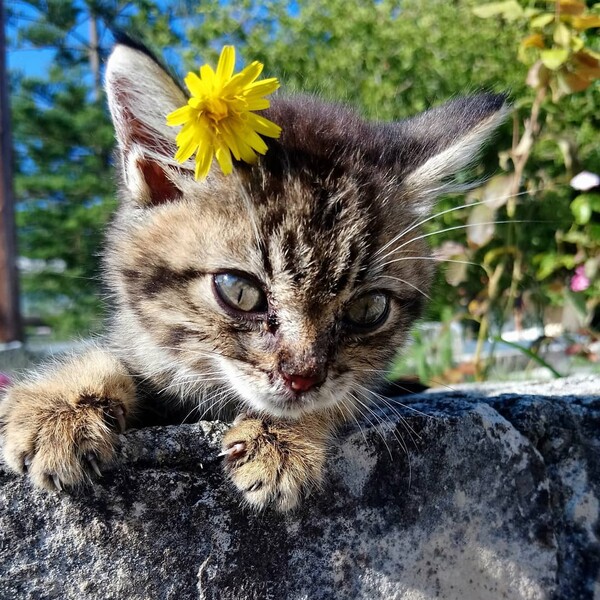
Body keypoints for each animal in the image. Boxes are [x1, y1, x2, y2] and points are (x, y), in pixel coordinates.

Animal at [0, 39, 506, 510]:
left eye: (369, 308)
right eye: (238, 291)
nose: (303, 379)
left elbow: (348, 394)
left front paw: (282, 438)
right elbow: (112, 356)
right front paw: (60, 407)